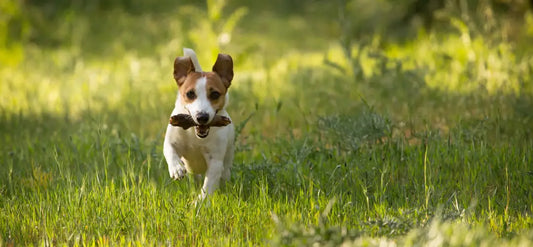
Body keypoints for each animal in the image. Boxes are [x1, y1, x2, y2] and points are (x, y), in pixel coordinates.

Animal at [163, 47, 234, 199]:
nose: (202, 117)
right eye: (190, 94)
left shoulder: (215, 162)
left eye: (215, 94)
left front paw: (200, 201)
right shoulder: (171, 140)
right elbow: (169, 150)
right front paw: (176, 168)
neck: (194, 136)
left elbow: (208, 186)